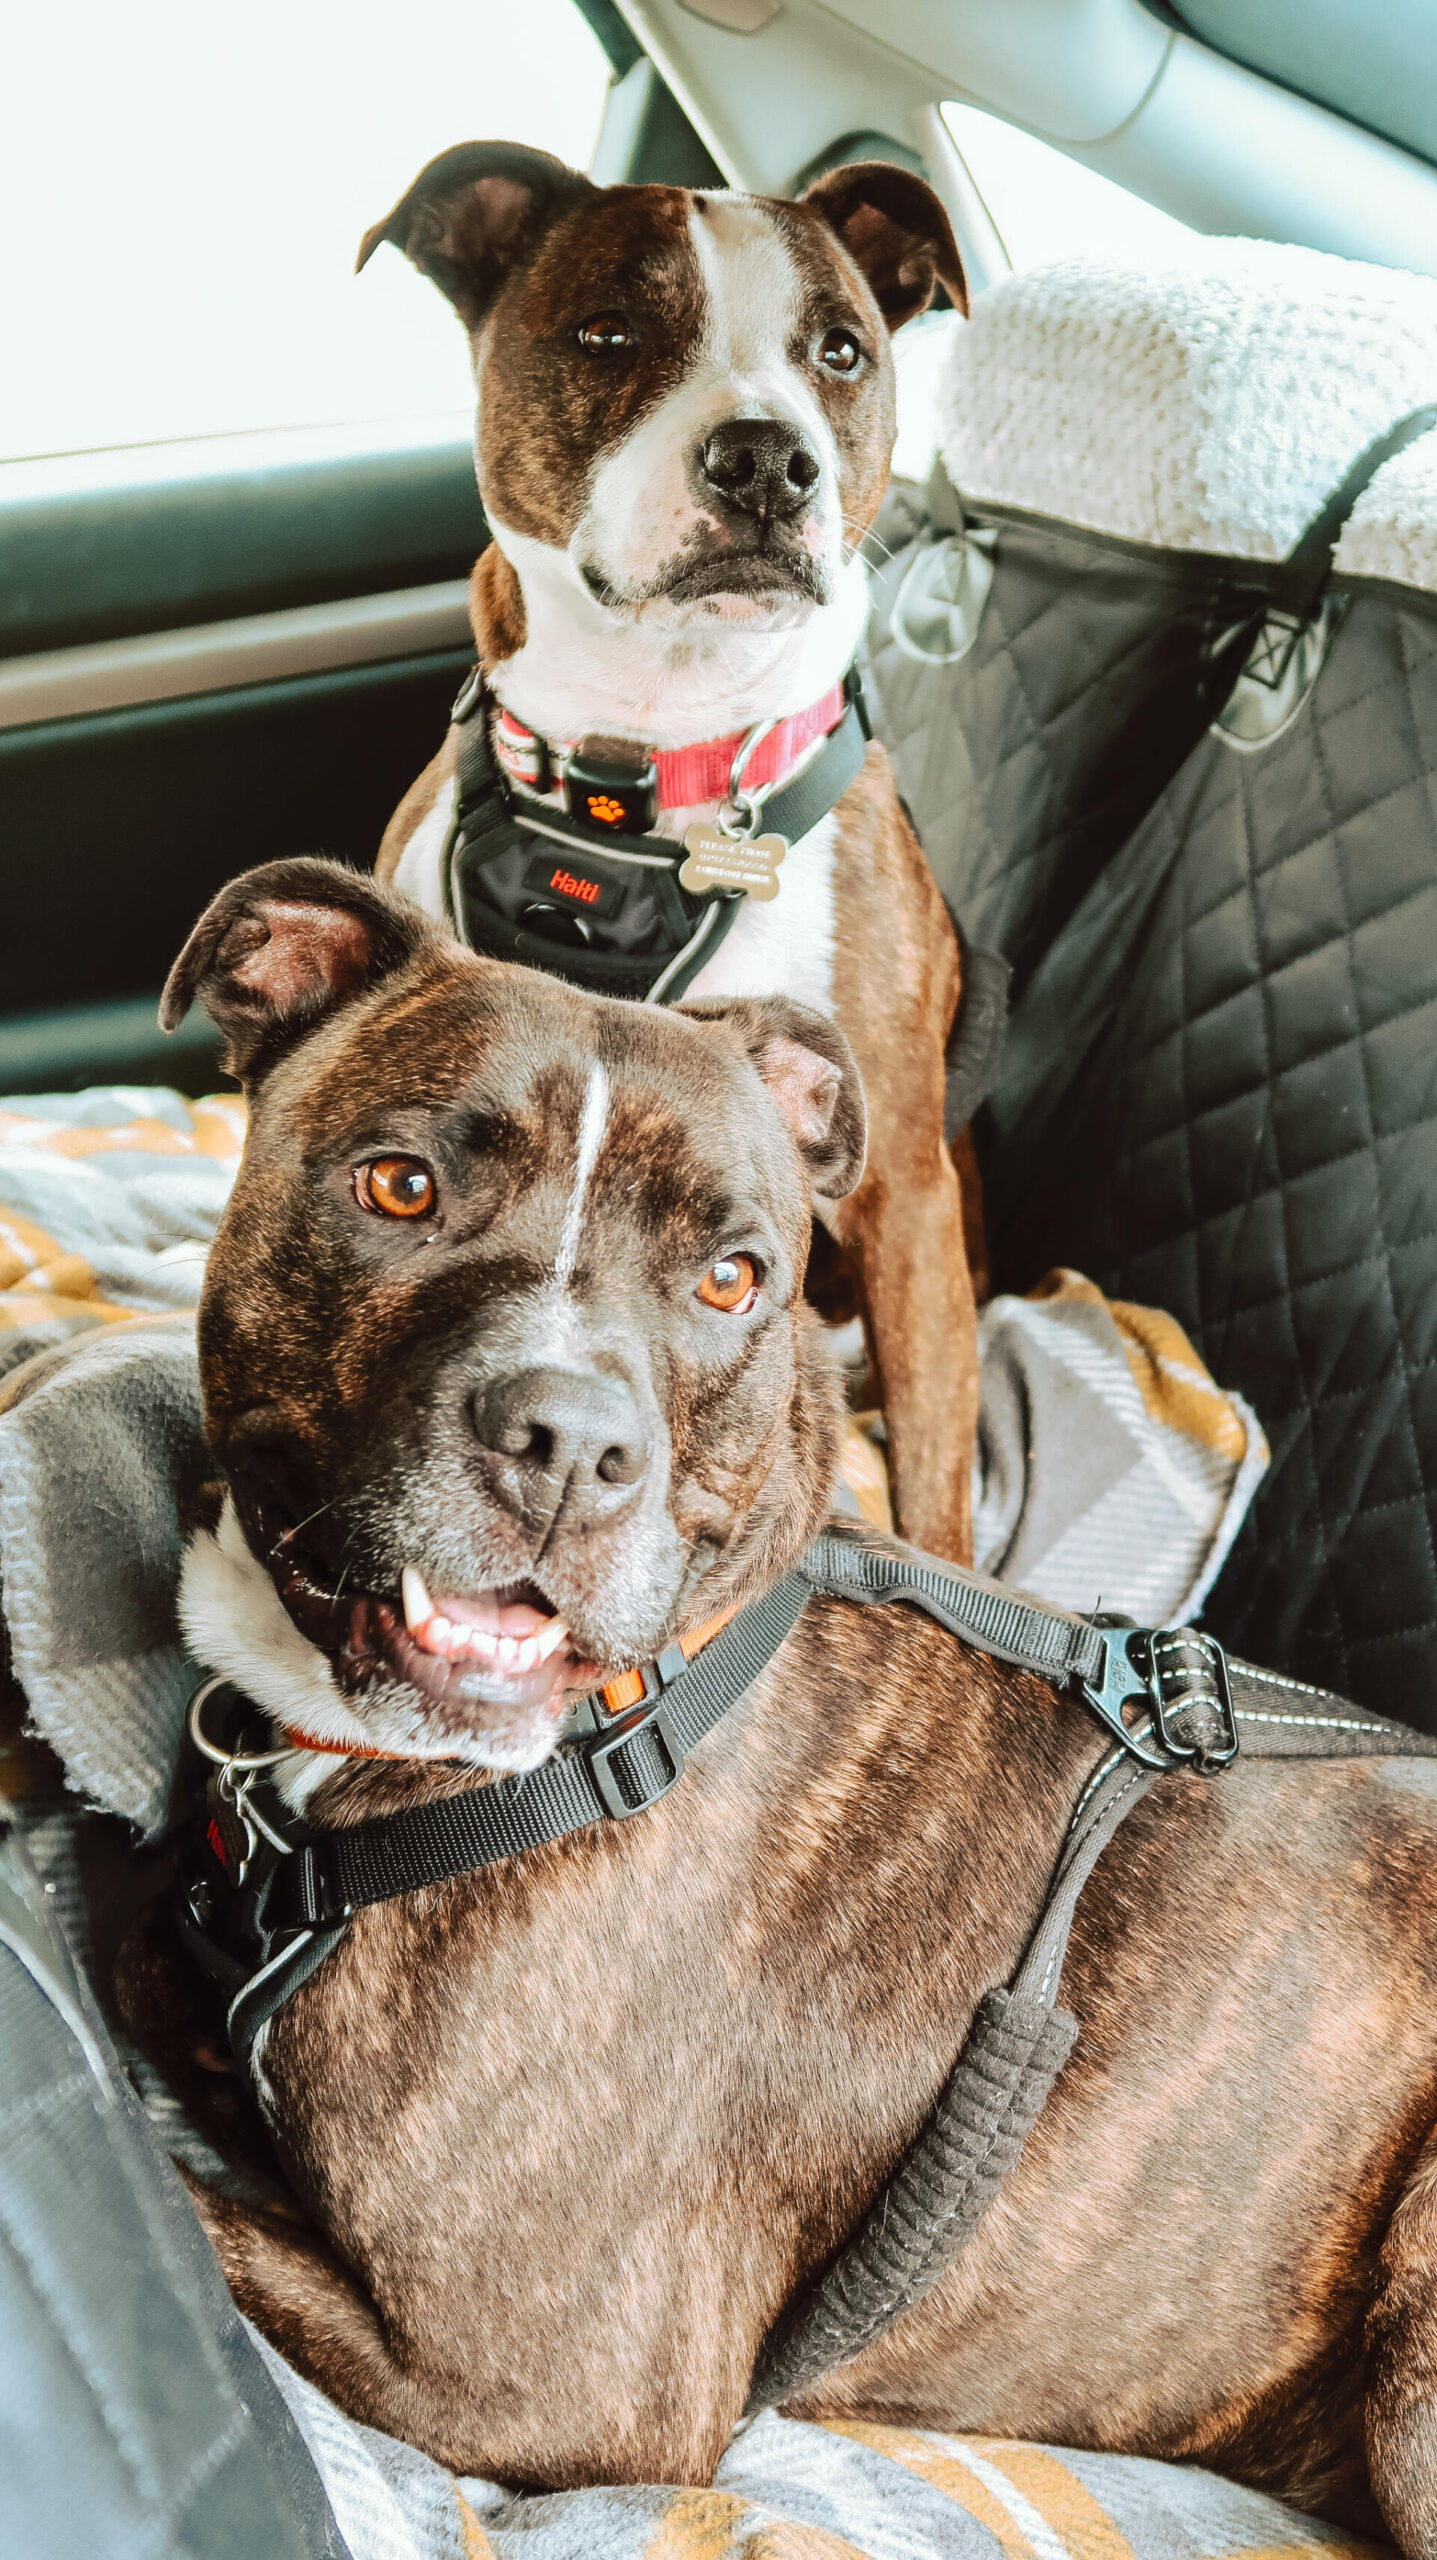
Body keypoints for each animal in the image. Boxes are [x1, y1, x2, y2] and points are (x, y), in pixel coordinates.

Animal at [120, 855, 1434, 2539]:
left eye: (734, 1280)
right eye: (399, 1187)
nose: (570, 1441)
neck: (620, 1724)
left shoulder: (539, 2382)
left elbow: (194, 2200)